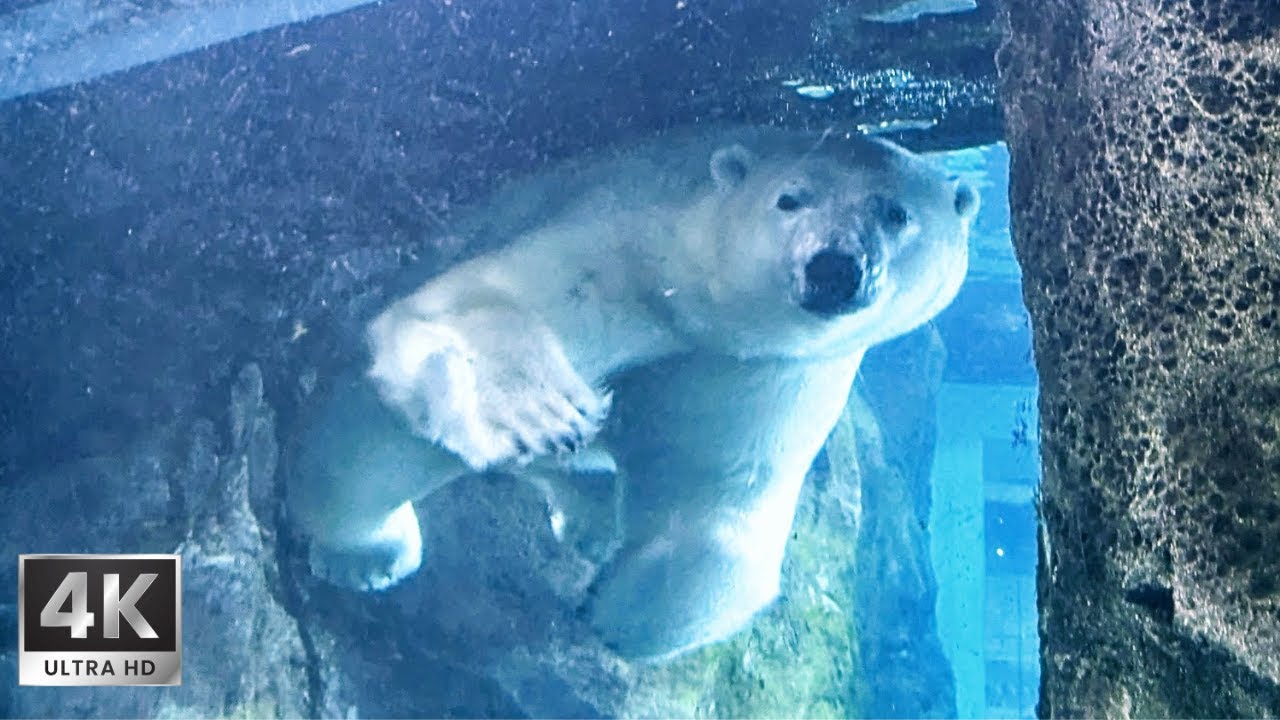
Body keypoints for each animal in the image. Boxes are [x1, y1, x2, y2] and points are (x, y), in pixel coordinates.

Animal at [288, 126, 978, 657]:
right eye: (789, 198)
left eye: (897, 213)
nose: (834, 266)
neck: (702, 309)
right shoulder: (622, 245)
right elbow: (472, 303)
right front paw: (542, 414)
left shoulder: (758, 368)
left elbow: (715, 500)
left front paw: (614, 617)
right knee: (371, 453)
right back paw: (369, 554)